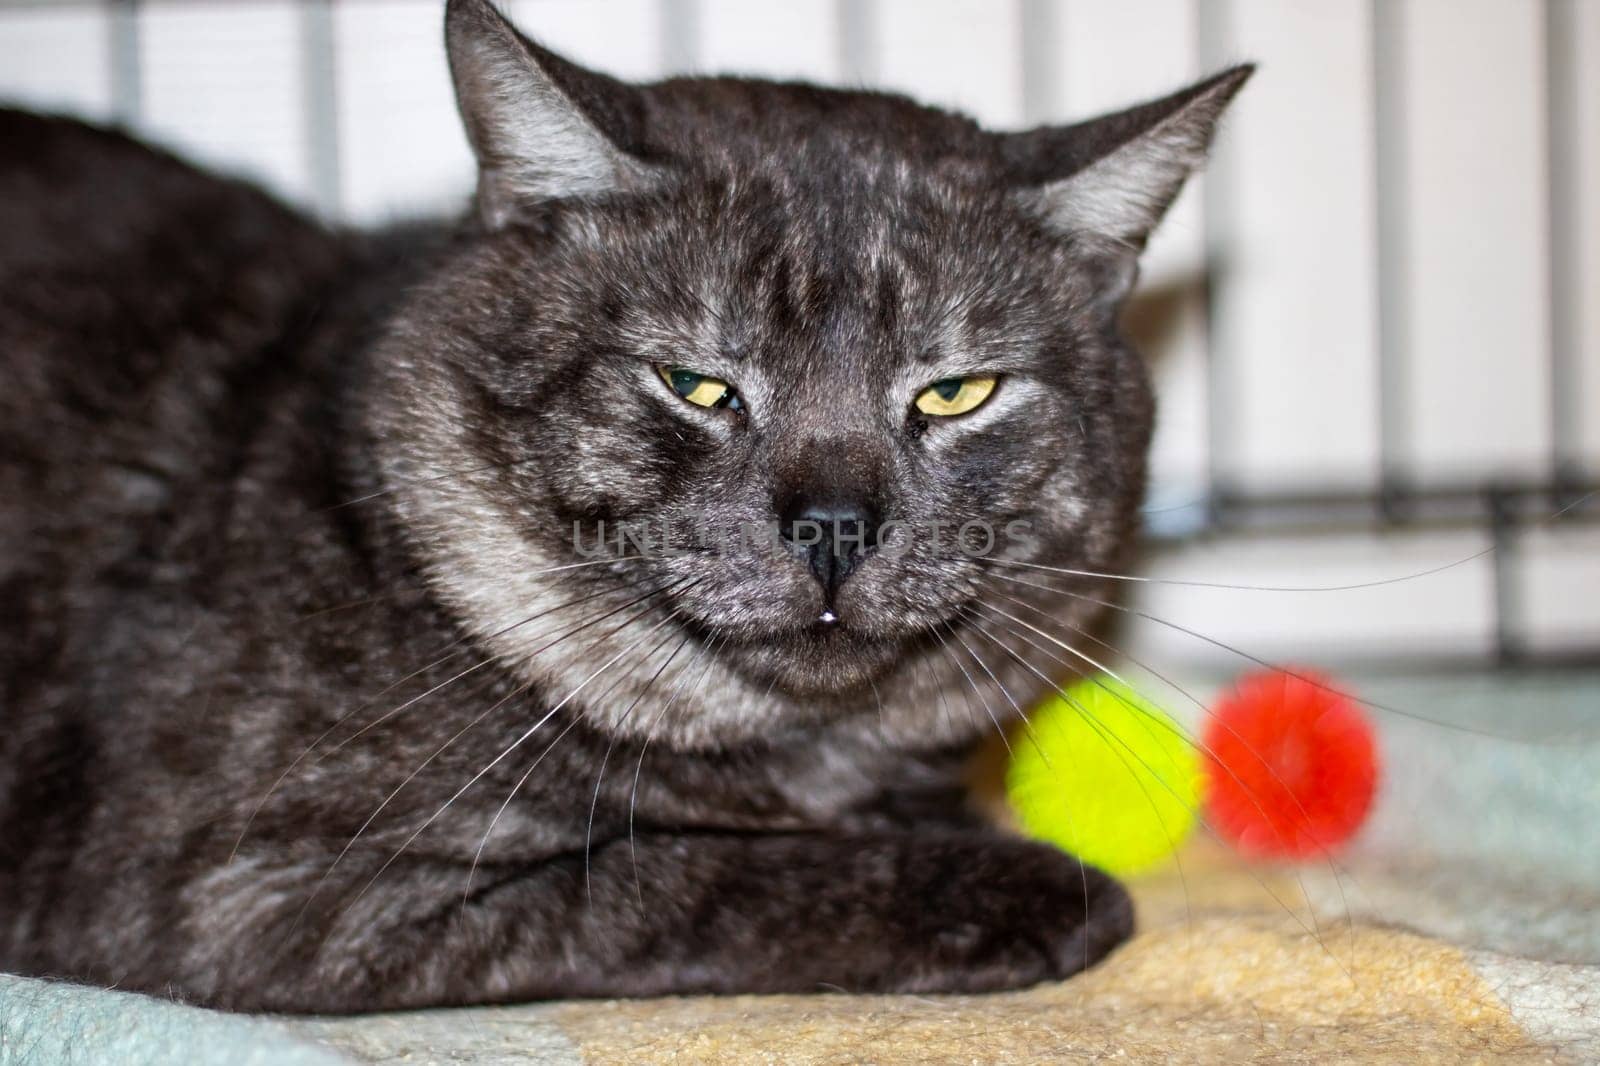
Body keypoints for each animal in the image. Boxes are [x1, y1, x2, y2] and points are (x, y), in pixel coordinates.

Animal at [0, 0, 1248, 1011]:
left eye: (956, 392)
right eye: (694, 382)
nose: (834, 524)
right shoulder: (258, 889)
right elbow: (673, 871)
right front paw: (1036, 887)